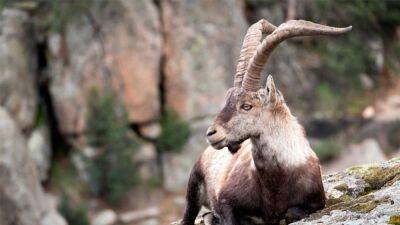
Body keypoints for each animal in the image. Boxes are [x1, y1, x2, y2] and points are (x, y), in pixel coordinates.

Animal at [181, 19, 350, 225]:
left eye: (247, 106)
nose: (211, 133)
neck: (277, 179)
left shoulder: (317, 201)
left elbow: (292, 212)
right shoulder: (225, 199)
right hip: (193, 186)